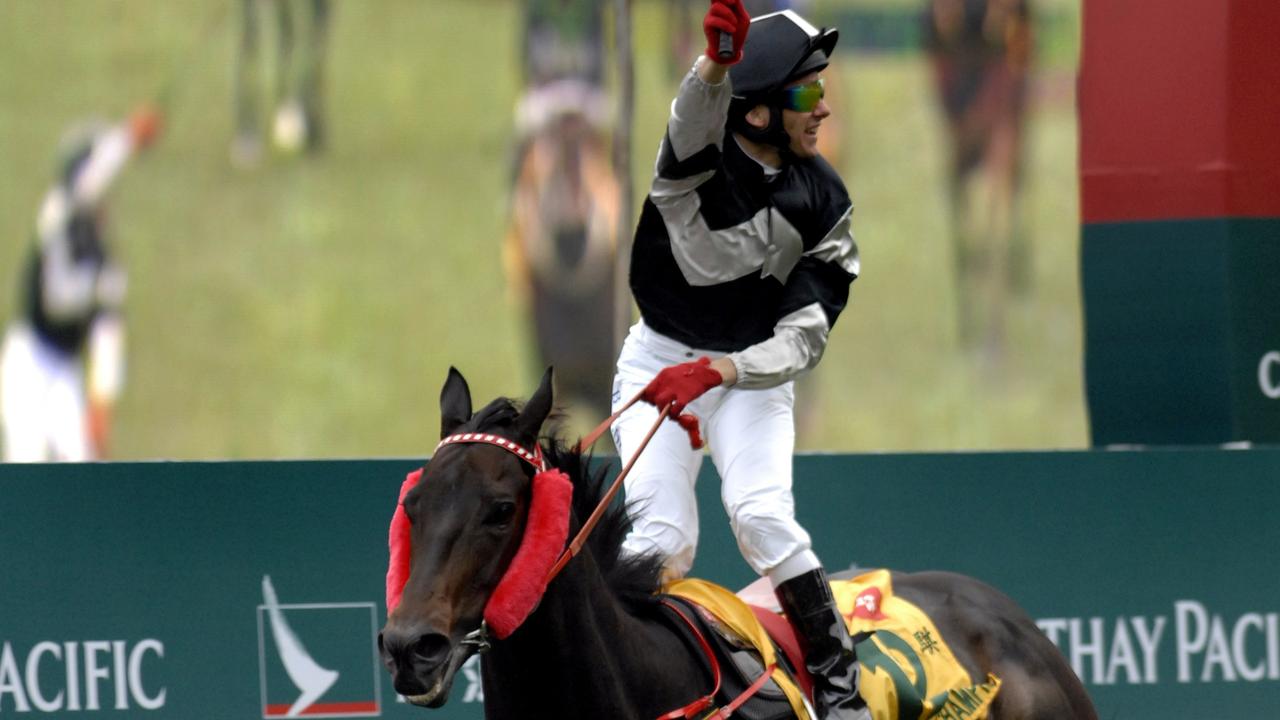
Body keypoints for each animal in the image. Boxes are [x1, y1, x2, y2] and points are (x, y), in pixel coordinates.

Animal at [921, 0, 1029, 353]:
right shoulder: (953, 134)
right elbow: (962, 228)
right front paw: (965, 332)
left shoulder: (1001, 122)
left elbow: (993, 229)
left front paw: (992, 344)